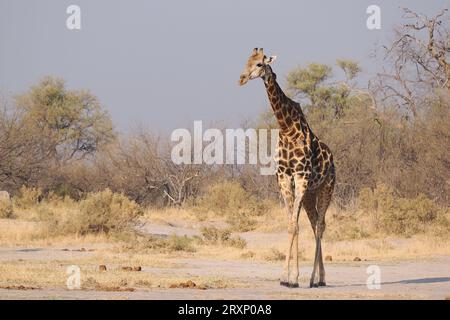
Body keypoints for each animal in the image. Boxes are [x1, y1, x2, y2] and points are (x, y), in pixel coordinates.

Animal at [239, 48, 334, 288]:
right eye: (247, 61)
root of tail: (333, 159)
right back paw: (317, 278)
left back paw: (316, 279)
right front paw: (288, 278)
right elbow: (292, 225)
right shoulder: (283, 177)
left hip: (326, 188)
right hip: (310, 193)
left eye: (260, 64)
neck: (286, 127)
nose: (241, 79)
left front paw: (291, 278)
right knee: (313, 223)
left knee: (320, 225)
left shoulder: (300, 176)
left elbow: (293, 225)